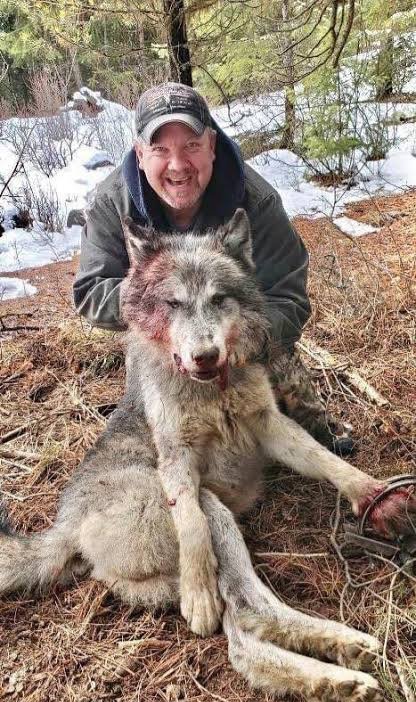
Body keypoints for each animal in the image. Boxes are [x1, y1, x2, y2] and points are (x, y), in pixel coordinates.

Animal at [1, 210, 414, 700]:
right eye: (174, 304)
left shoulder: (270, 426)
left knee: (244, 633)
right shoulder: (178, 462)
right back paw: (343, 668)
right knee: (246, 618)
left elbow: (327, 461)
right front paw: (198, 594)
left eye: (218, 299)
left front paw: (373, 495)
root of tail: (63, 527)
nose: (204, 355)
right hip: (212, 508)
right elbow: (191, 526)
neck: (212, 394)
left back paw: (340, 666)